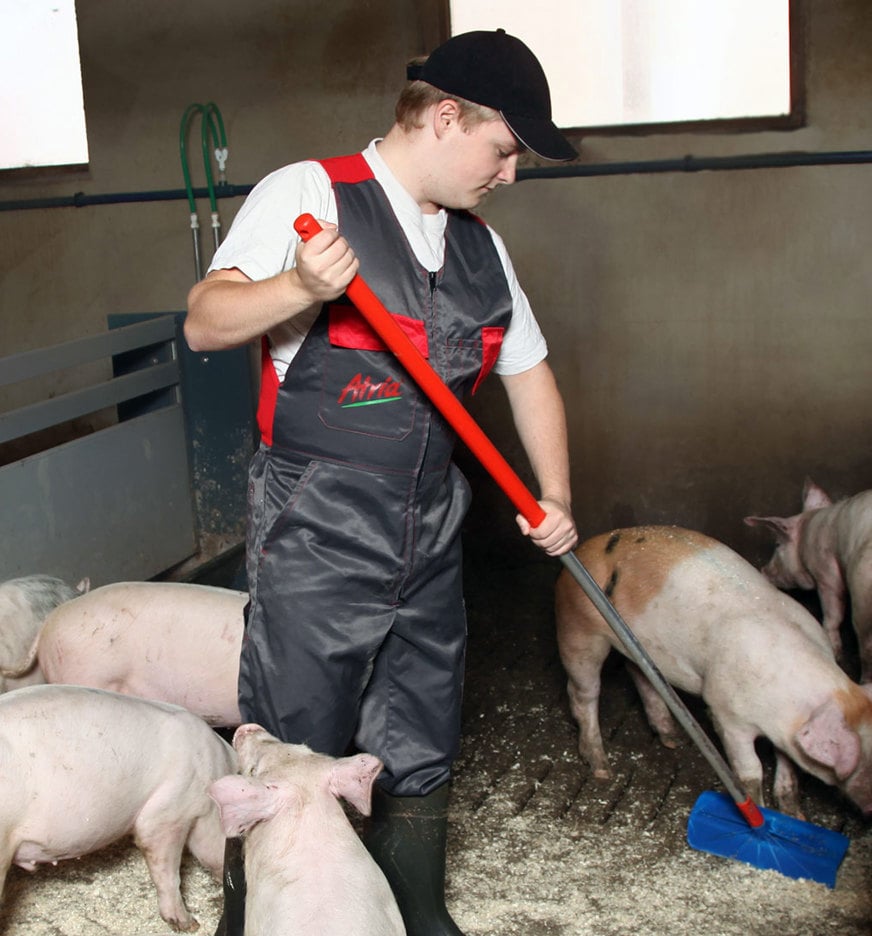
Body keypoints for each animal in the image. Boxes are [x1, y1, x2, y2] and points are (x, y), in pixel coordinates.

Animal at [554, 525, 872, 818]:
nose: (869, 810)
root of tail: (582, 549)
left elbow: (789, 765)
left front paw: (795, 815)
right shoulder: (726, 713)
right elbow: (750, 770)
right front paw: (759, 815)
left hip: (638, 646)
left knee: (640, 674)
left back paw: (673, 740)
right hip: (579, 629)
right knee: (583, 693)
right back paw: (602, 768)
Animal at [745, 478, 872, 683]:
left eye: (777, 544)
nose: (762, 570)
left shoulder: (825, 573)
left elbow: (833, 614)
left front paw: (835, 651)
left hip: (863, 602)